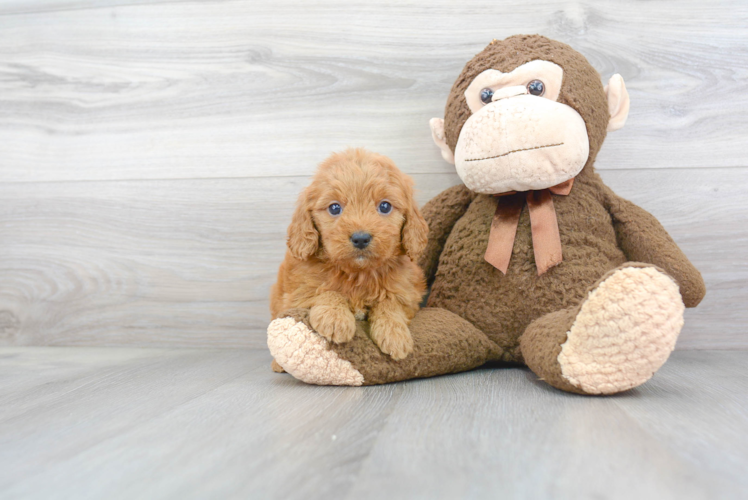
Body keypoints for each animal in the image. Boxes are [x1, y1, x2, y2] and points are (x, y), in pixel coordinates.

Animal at [274, 146, 426, 362]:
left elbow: (391, 302)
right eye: (334, 208)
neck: (358, 274)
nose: (360, 238)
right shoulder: (297, 294)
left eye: (385, 206)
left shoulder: (408, 294)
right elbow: (325, 291)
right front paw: (335, 318)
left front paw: (395, 334)